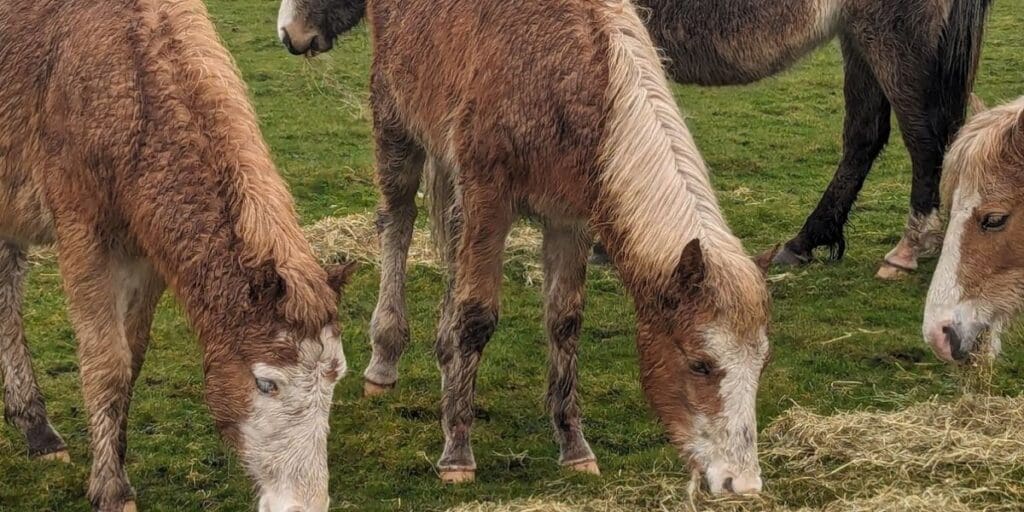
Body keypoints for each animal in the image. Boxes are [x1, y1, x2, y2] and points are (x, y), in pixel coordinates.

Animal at [0, 1, 356, 510]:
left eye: (337, 377)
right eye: (266, 383)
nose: (302, 505)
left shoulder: (146, 251)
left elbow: (131, 360)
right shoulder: (84, 236)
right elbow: (106, 365)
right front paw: (112, 489)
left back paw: (35, 428)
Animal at [278, 0, 774, 495]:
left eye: (761, 364)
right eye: (699, 364)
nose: (742, 482)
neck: (564, 76)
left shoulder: (568, 219)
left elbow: (564, 322)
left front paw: (573, 445)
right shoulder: (488, 200)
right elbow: (476, 318)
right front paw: (457, 452)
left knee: (451, 243)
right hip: (395, 122)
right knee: (397, 222)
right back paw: (385, 360)